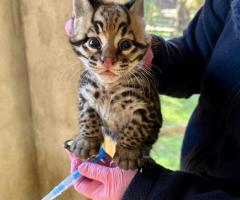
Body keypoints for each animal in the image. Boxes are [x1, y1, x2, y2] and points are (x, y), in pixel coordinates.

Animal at [68, 0, 161, 170]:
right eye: (93, 42)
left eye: (125, 45)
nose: (108, 61)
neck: (109, 87)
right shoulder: (85, 94)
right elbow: (87, 115)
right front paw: (87, 140)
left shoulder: (147, 106)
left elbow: (136, 128)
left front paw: (127, 152)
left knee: (147, 145)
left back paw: (145, 158)